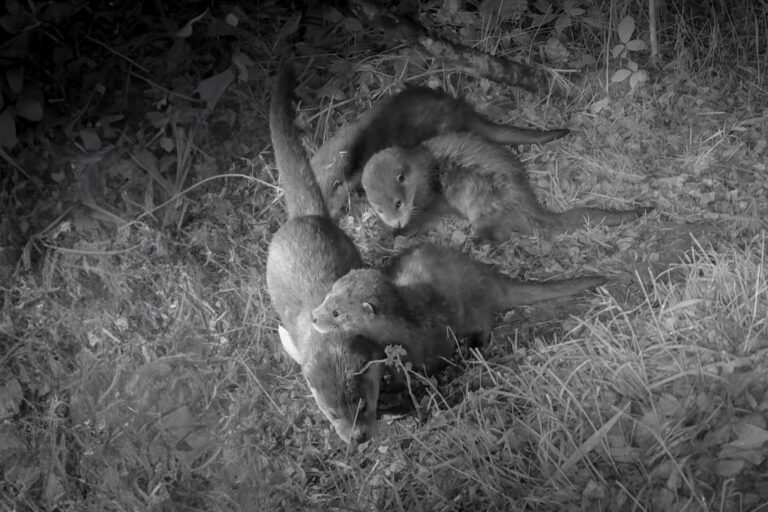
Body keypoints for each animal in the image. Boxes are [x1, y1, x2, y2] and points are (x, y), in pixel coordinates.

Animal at [311, 244, 607, 364]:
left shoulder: (433, 339)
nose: (314, 317)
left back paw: (474, 346)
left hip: (473, 308)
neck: (407, 322)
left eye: (336, 313)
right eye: (326, 295)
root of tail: (487, 275)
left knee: (484, 324)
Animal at [361, 132, 649, 241]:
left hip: (486, 207)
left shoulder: (430, 200)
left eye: (398, 203)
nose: (395, 221)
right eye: (379, 209)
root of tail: (524, 199)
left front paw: (398, 233)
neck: (423, 173)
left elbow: (424, 220)